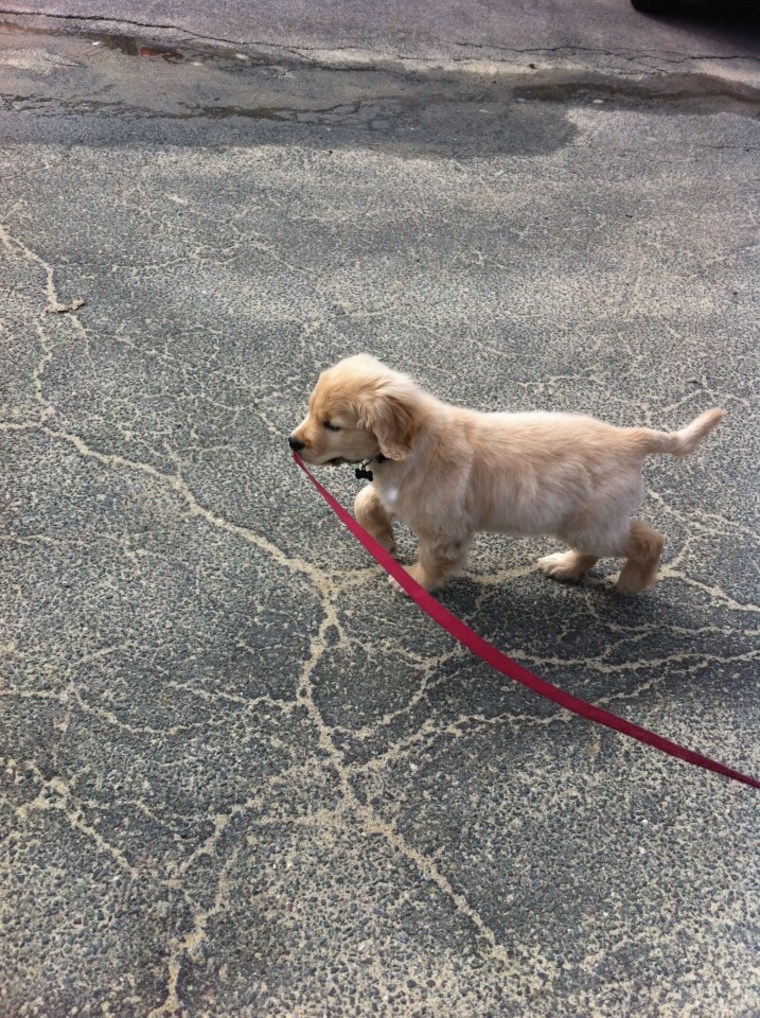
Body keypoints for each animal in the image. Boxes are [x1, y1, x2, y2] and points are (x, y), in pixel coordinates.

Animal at [288, 358, 724, 594]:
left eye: (332, 425)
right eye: (309, 410)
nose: (293, 442)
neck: (416, 442)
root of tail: (630, 438)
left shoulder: (445, 528)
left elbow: (432, 558)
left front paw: (415, 581)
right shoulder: (396, 489)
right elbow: (365, 501)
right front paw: (384, 541)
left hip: (591, 522)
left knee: (650, 540)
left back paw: (631, 583)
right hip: (585, 522)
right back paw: (566, 567)